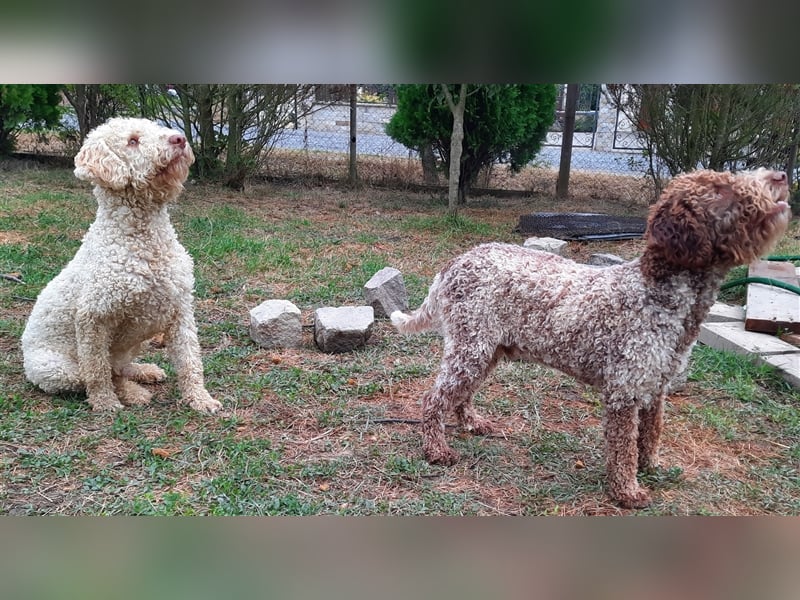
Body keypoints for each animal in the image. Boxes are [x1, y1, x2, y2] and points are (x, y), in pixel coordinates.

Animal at [21, 118, 222, 418]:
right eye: (133, 141)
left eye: (156, 128)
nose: (179, 139)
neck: (144, 240)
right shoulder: (93, 318)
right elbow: (97, 371)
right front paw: (106, 404)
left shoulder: (181, 309)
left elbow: (190, 361)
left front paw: (200, 399)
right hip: (56, 369)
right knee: (97, 374)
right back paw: (132, 392)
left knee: (120, 366)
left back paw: (144, 371)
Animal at [390, 168, 792, 506]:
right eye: (721, 189)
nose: (781, 176)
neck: (660, 293)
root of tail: (455, 262)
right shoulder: (624, 391)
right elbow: (624, 448)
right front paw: (627, 491)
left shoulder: (656, 387)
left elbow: (651, 435)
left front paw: (651, 467)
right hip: (472, 346)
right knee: (433, 398)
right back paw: (436, 449)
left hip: (487, 348)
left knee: (460, 394)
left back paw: (472, 422)